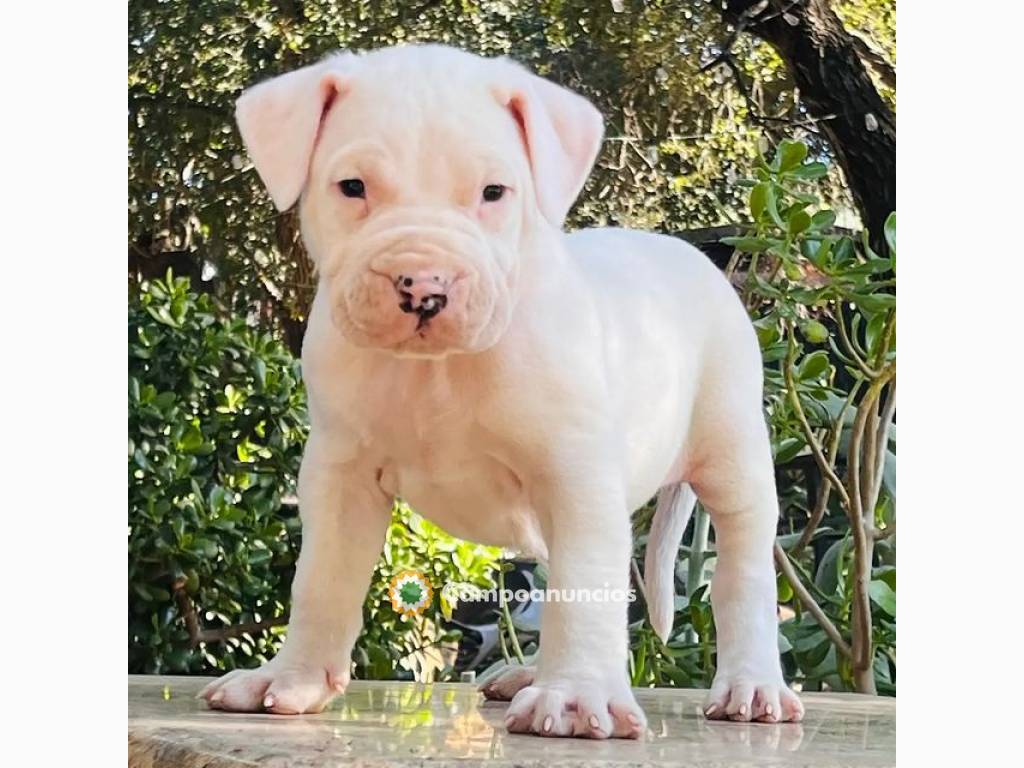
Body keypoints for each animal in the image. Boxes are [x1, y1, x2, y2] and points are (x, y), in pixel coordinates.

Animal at [199, 43, 802, 741]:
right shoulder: (339, 473)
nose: (423, 285)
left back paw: (752, 686)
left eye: (493, 193)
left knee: (740, 573)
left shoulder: (575, 474)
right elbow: (320, 579)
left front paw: (575, 696)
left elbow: (586, 586)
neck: (437, 371)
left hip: (731, 455)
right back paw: (528, 674)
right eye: (352, 187)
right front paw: (290, 679)